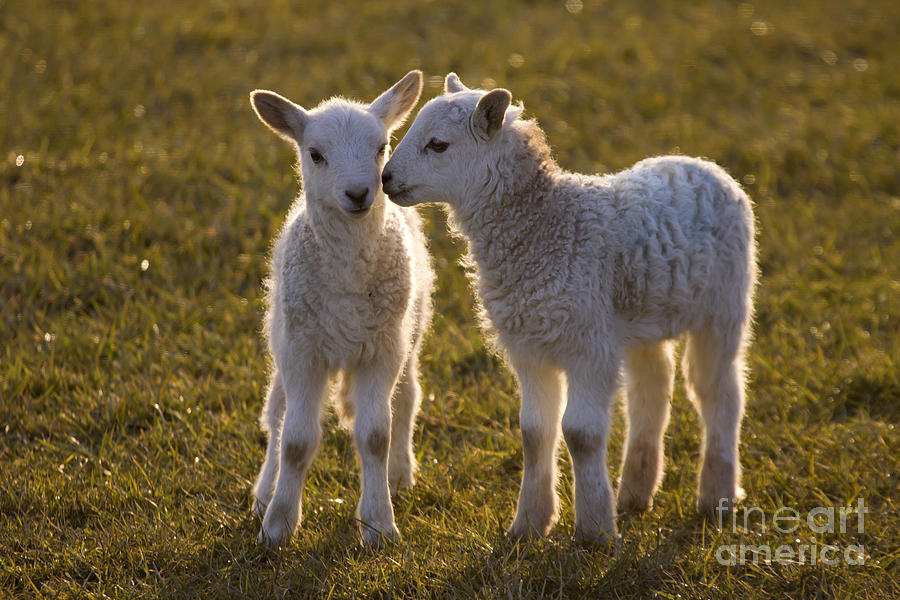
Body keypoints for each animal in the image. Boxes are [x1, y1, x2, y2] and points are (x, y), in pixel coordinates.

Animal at [248, 71, 434, 548]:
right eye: (315, 154)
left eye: (382, 147)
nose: (358, 192)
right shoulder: (302, 351)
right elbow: (295, 440)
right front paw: (277, 525)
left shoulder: (382, 350)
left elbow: (375, 436)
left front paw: (379, 524)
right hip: (283, 335)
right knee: (275, 413)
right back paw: (264, 489)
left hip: (408, 331)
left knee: (407, 397)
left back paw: (399, 475)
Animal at [382, 72, 760, 540]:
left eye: (438, 145)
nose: (385, 178)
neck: (547, 224)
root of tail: (704, 165)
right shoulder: (530, 346)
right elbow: (533, 433)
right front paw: (529, 524)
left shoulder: (588, 345)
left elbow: (579, 433)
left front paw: (595, 529)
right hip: (642, 315)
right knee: (652, 385)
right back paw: (635, 492)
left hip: (724, 307)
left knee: (719, 391)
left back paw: (716, 497)